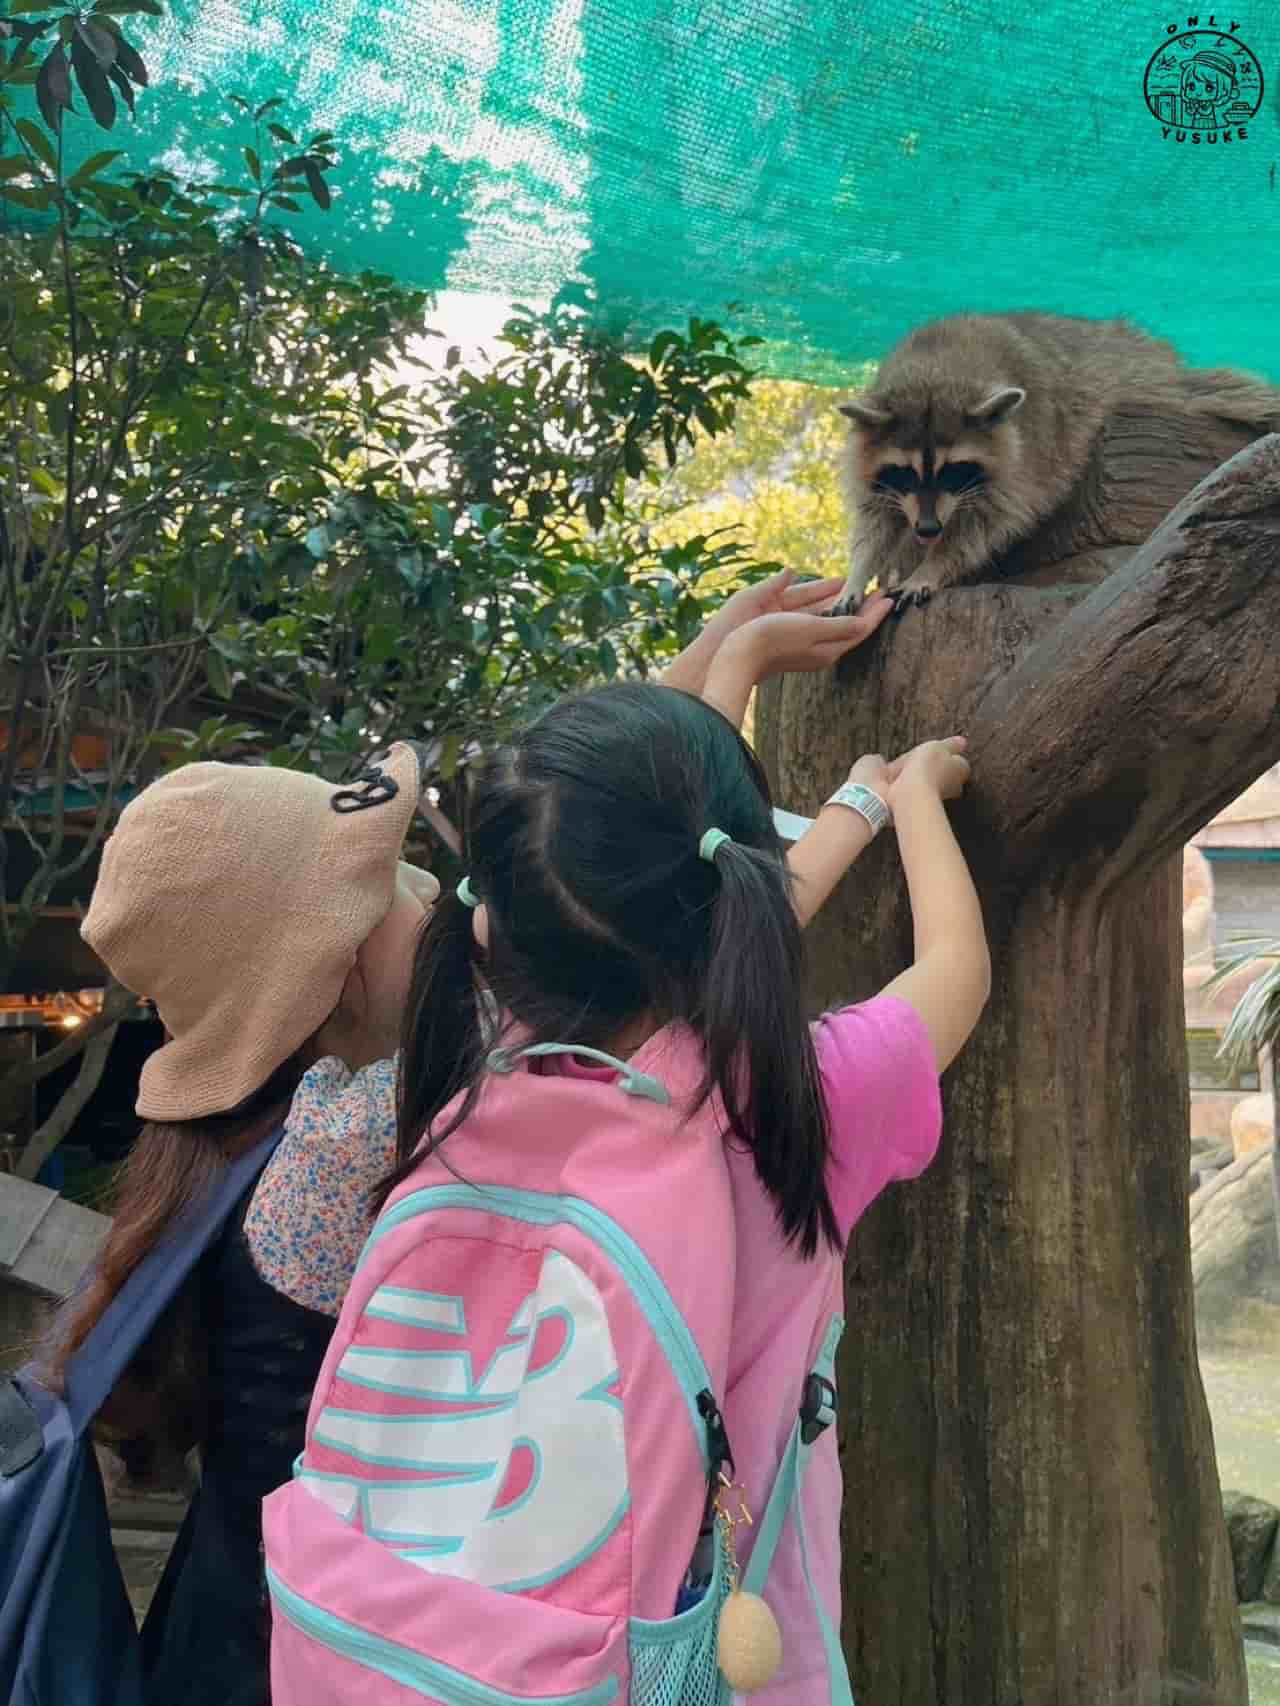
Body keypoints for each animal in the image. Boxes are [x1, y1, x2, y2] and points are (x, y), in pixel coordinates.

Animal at [836, 312, 1280, 614]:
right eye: (906, 473)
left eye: (953, 471)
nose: (928, 529)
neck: (933, 370)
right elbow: (876, 520)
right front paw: (858, 572)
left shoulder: (1026, 455)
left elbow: (987, 523)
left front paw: (933, 565)